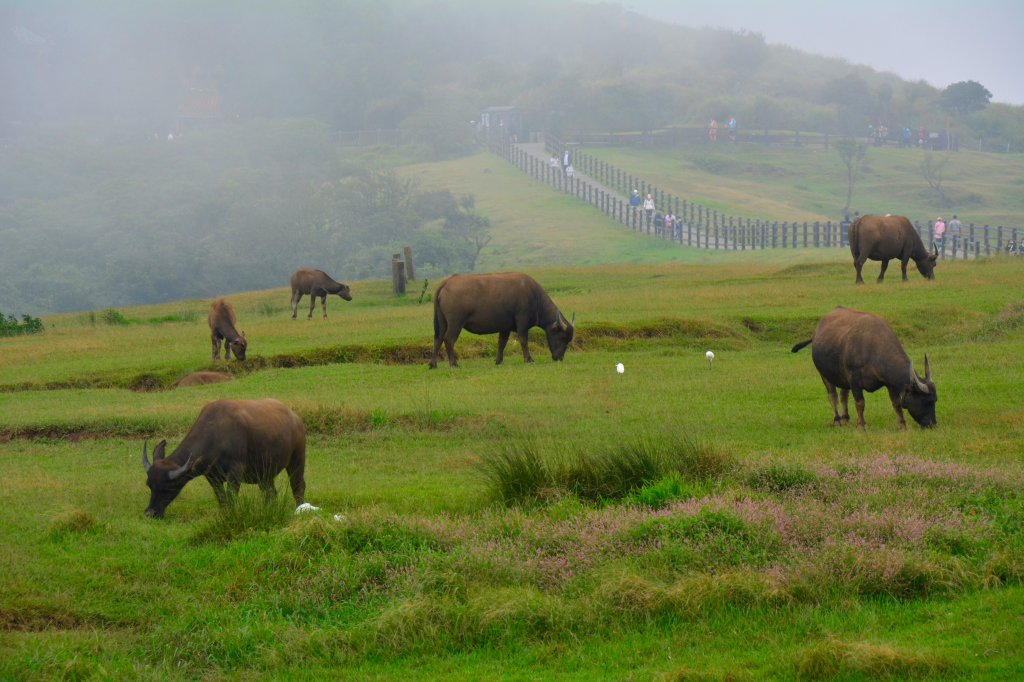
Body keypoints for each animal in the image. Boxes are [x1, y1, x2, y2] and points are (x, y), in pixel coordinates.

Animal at [142, 395, 305, 518]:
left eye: (167, 487)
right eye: (150, 485)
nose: (150, 513)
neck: (215, 434)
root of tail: (295, 418)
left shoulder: (235, 471)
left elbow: (231, 496)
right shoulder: (212, 476)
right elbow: (222, 498)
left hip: (297, 458)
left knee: (298, 486)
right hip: (264, 473)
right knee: (270, 493)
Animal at [425, 270, 577, 366]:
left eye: (568, 340)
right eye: (562, 337)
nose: (559, 358)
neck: (535, 298)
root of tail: (447, 282)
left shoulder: (505, 328)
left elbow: (501, 343)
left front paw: (498, 361)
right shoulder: (522, 323)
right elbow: (523, 341)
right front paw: (528, 359)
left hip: (442, 322)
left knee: (438, 339)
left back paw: (433, 364)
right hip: (456, 323)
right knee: (448, 339)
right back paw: (454, 363)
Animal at [790, 305, 937, 428]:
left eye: (935, 400)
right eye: (926, 401)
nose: (933, 424)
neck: (872, 348)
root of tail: (815, 333)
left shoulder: (889, 383)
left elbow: (896, 404)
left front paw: (902, 425)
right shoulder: (854, 380)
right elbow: (860, 403)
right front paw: (861, 425)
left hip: (842, 377)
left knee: (843, 395)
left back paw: (845, 418)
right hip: (824, 374)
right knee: (833, 396)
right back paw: (837, 420)